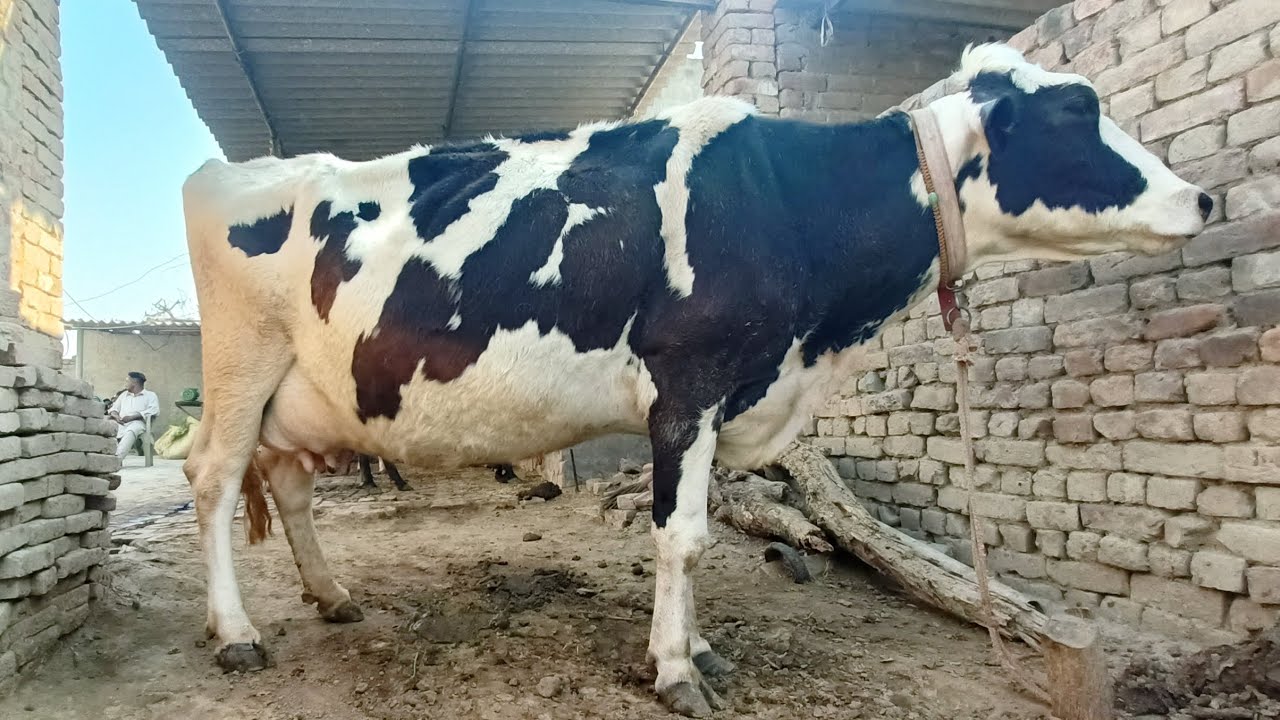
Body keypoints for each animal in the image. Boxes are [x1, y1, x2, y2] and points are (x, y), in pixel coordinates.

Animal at [180, 43, 1209, 716]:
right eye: (1076, 113)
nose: (1200, 198)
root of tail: (230, 172)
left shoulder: (730, 396)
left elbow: (700, 533)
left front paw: (700, 649)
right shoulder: (690, 384)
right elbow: (682, 536)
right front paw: (675, 670)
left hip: (294, 393)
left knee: (288, 485)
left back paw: (332, 596)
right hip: (238, 365)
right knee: (214, 480)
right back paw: (236, 634)